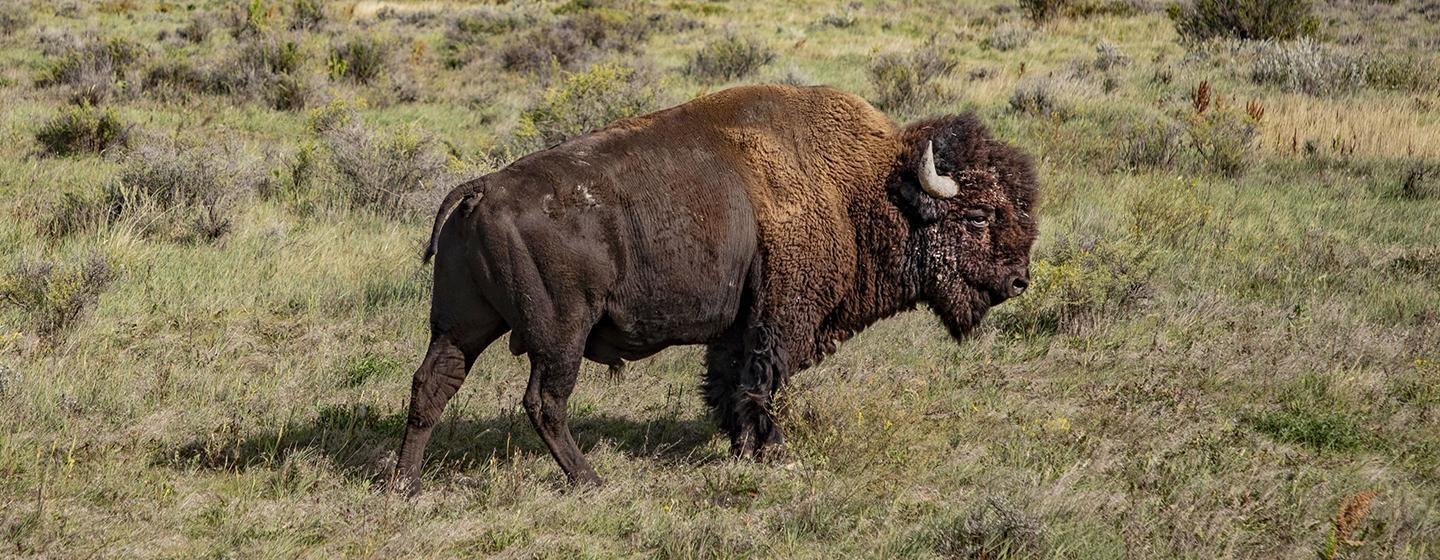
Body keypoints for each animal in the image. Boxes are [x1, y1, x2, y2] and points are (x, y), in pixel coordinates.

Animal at [393, 84, 1038, 492]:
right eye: (977, 216)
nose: (1017, 280)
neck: (863, 189)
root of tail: (480, 189)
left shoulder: (735, 327)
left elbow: (729, 383)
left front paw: (740, 446)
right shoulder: (775, 323)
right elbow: (757, 384)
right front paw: (770, 451)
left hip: (463, 323)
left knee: (432, 384)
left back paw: (405, 485)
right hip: (560, 333)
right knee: (543, 401)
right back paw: (590, 481)